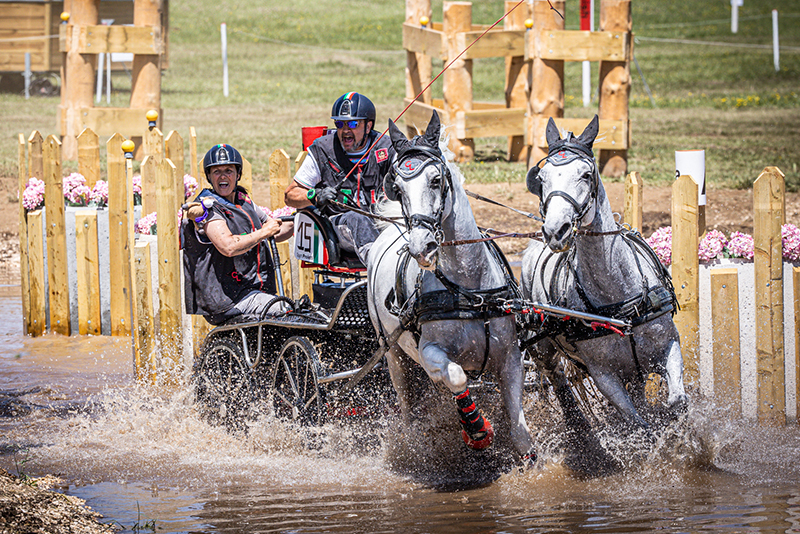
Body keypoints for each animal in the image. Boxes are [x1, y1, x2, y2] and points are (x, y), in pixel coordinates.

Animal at [368, 112, 536, 464]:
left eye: (436, 180)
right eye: (398, 188)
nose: (421, 246)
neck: (468, 291)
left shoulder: (511, 357)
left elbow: (520, 432)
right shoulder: (430, 353)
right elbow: (456, 376)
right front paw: (477, 430)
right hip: (394, 357)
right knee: (409, 408)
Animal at [520, 116, 684, 440]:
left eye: (586, 174)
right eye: (541, 178)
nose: (556, 231)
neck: (620, 299)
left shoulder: (669, 347)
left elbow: (677, 401)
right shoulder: (605, 376)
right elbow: (639, 423)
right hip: (542, 349)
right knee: (557, 381)